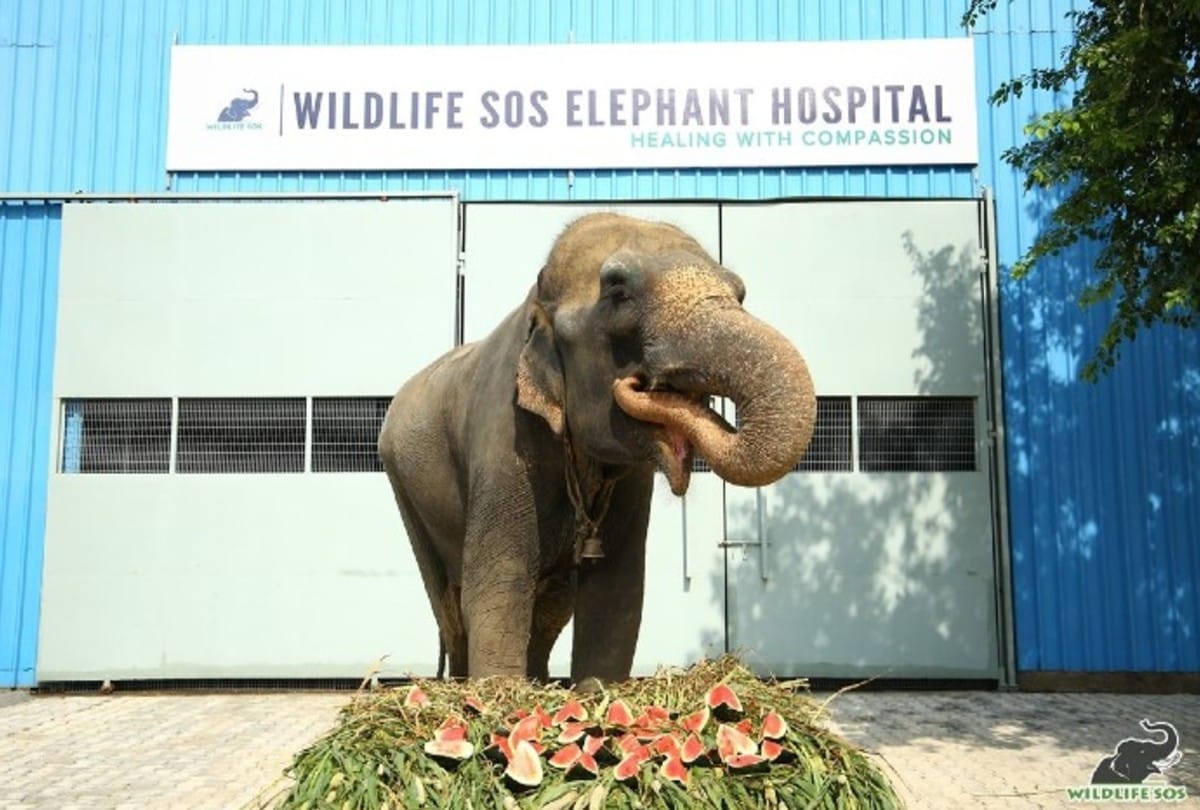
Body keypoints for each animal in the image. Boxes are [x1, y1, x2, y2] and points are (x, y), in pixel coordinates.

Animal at [378, 212, 816, 683]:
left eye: (740, 293)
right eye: (619, 292)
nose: (635, 383)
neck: (536, 301)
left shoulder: (632, 481)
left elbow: (616, 592)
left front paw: (593, 693)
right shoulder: (502, 437)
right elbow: (499, 584)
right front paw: (500, 696)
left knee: (551, 606)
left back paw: (538, 683)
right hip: (404, 486)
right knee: (450, 604)